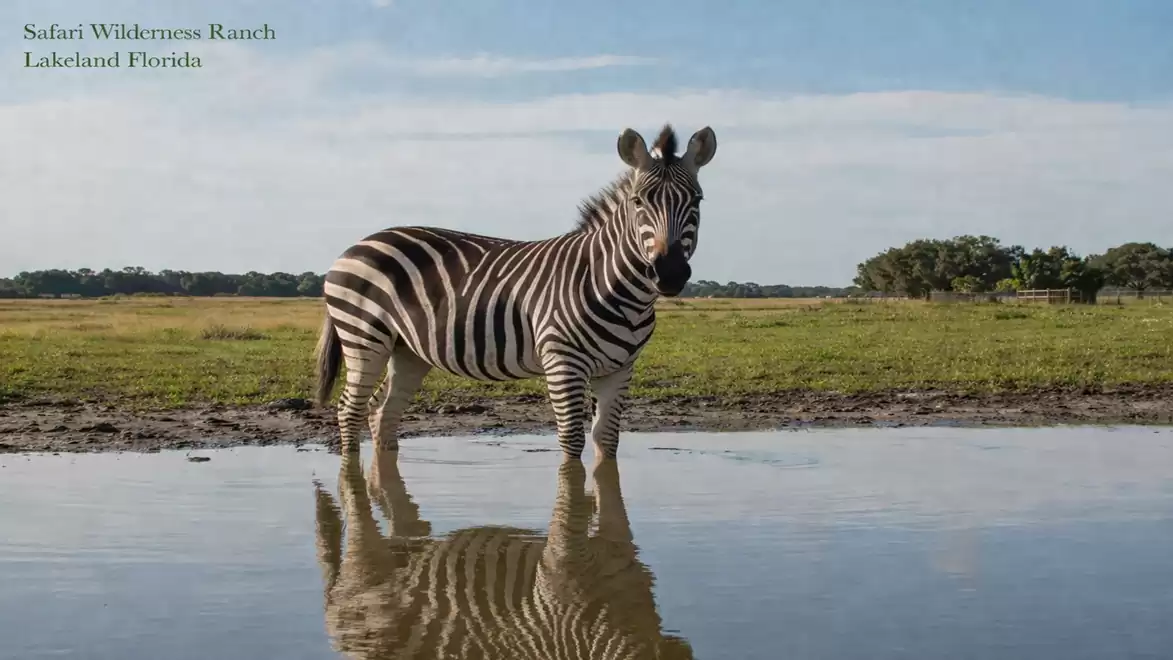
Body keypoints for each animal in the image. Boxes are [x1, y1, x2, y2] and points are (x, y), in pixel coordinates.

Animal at [313, 123, 718, 459]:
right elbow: (572, 442)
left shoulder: (619, 370)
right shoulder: (561, 362)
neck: (615, 287)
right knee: (349, 409)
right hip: (364, 337)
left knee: (381, 412)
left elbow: (607, 440)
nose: (669, 273)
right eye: (638, 202)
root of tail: (354, 246)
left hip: (408, 350)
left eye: (697, 200)